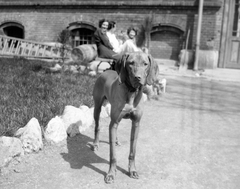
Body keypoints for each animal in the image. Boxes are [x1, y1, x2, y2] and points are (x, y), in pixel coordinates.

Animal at [92, 51, 158, 183]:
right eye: (130, 63)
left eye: (145, 64)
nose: (138, 78)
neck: (131, 91)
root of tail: (105, 71)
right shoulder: (114, 121)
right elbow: (113, 155)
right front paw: (111, 174)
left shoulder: (136, 124)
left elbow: (133, 152)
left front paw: (132, 170)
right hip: (97, 108)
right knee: (97, 126)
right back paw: (96, 144)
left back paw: (116, 140)